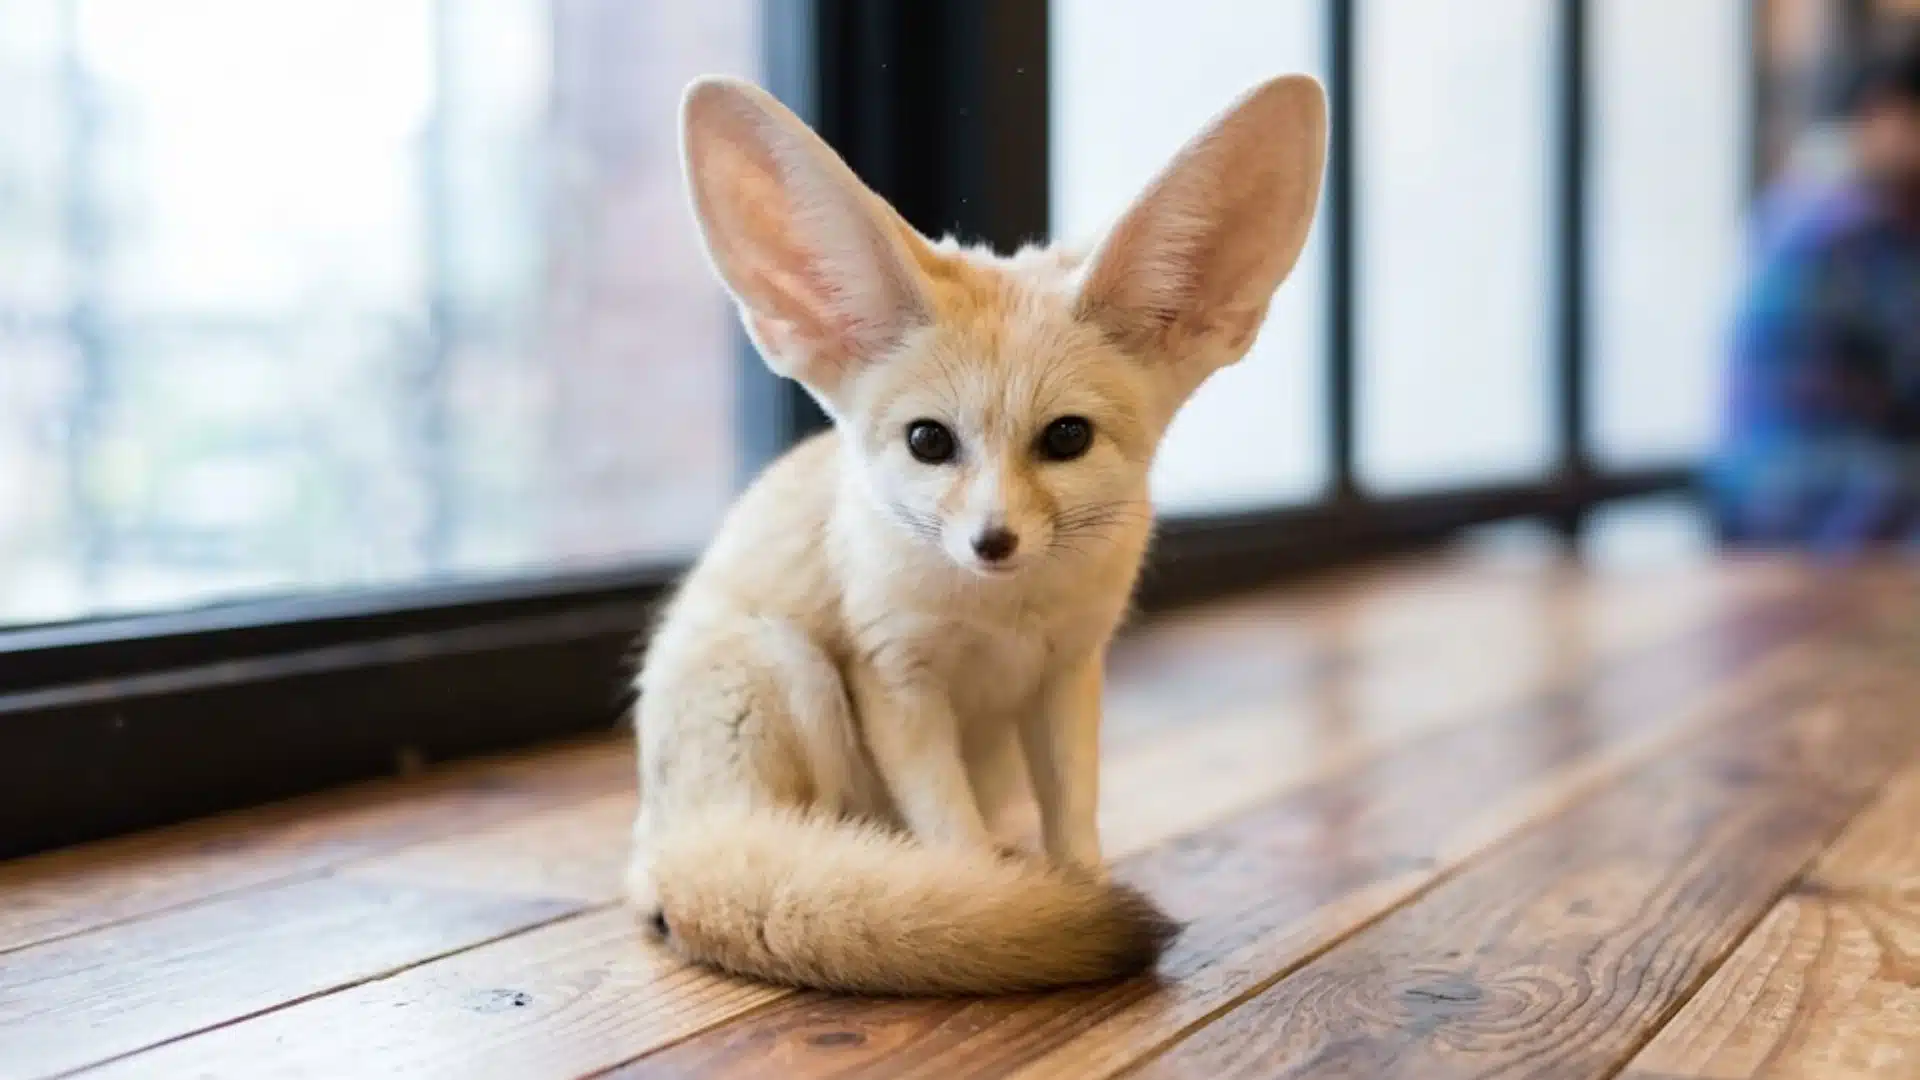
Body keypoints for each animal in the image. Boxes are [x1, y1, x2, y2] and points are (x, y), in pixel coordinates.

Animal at [626, 72, 1327, 996]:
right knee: (815, 854)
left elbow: (1076, 817)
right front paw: (975, 905)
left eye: (1066, 438)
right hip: (791, 670)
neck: (1003, 617)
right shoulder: (895, 680)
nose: (993, 543)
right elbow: (950, 839)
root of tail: (659, 843)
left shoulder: (1068, 672)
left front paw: (1073, 889)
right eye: (930, 442)